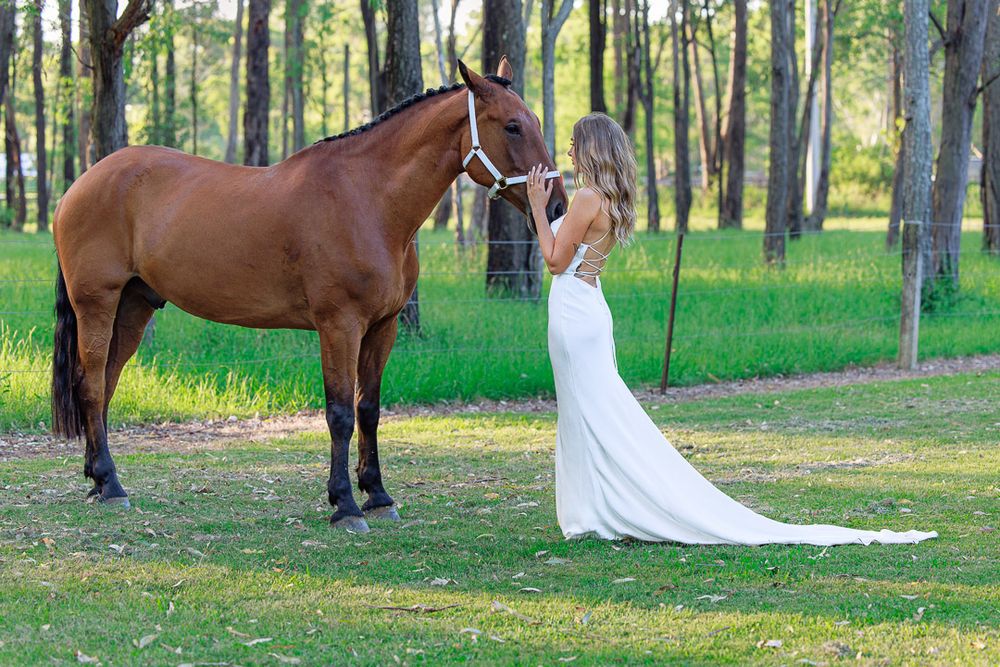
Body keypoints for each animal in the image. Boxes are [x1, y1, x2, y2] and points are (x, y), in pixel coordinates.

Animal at [50, 58, 568, 532]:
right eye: (513, 126)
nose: (557, 206)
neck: (367, 200)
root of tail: (80, 185)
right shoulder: (339, 325)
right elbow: (339, 413)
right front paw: (345, 504)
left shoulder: (382, 328)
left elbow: (368, 409)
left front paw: (377, 494)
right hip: (98, 303)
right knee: (92, 385)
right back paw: (111, 485)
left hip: (134, 306)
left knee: (105, 384)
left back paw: (97, 478)